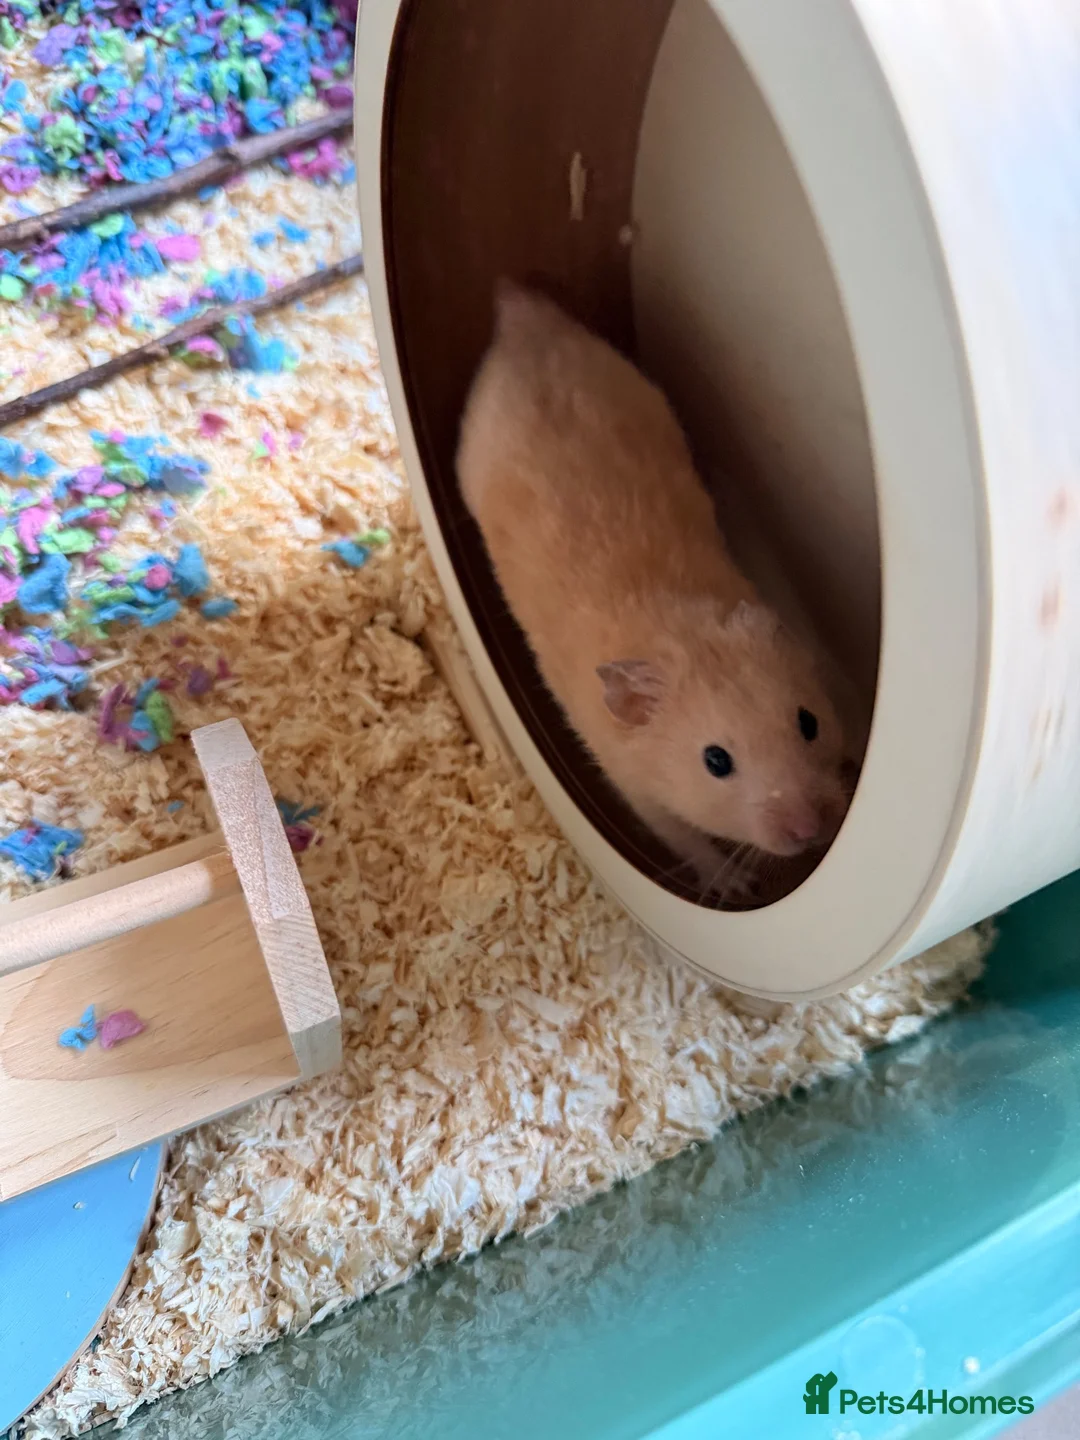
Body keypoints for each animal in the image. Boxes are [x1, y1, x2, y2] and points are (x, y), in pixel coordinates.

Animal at [456, 282, 850, 897]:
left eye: (809, 722)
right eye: (716, 762)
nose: (809, 830)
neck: (681, 633)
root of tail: (520, 313)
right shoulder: (638, 792)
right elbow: (687, 841)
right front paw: (737, 887)